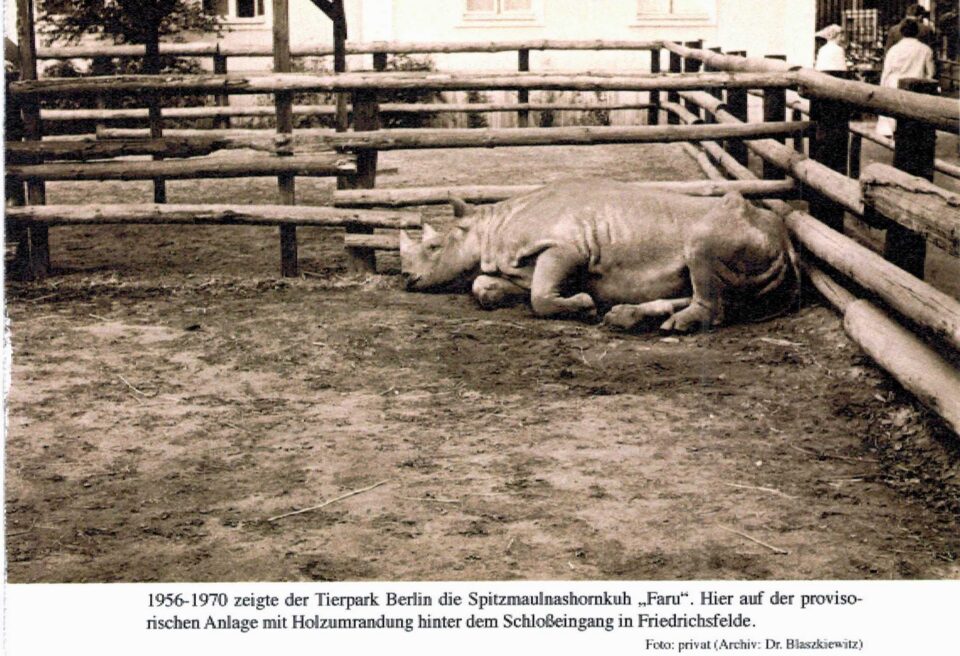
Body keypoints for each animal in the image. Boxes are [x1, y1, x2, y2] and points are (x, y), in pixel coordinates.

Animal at [399, 179, 798, 333]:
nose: (406, 278)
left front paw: (585, 305)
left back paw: (672, 326)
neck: (490, 228)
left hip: (727, 228)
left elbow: (540, 296)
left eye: (433, 248)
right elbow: (487, 285)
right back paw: (625, 318)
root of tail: (787, 241)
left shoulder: (566, 248)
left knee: (702, 255)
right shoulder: (519, 265)